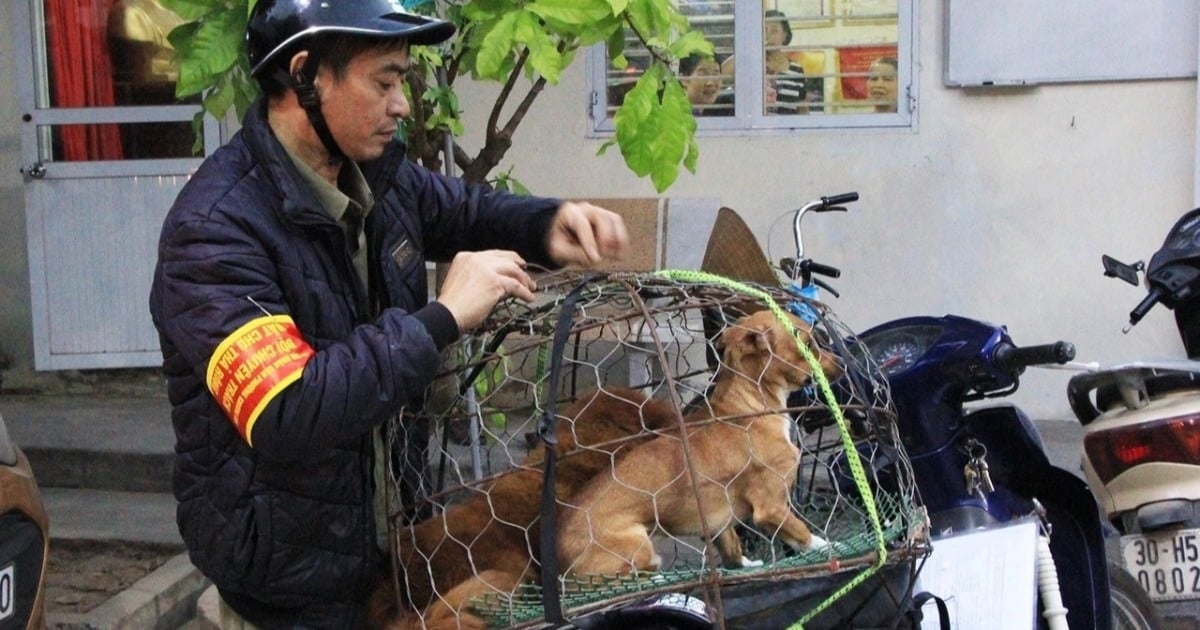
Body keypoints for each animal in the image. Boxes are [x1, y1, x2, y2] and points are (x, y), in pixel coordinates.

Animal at [556, 307, 840, 578]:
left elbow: (732, 546)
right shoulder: (771, 507)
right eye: (808, 344)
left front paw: (744, 564)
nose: (841, 364)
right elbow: (801, 532)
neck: (748, 405)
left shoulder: (719, 523)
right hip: (638, 544)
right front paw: (825, 545)